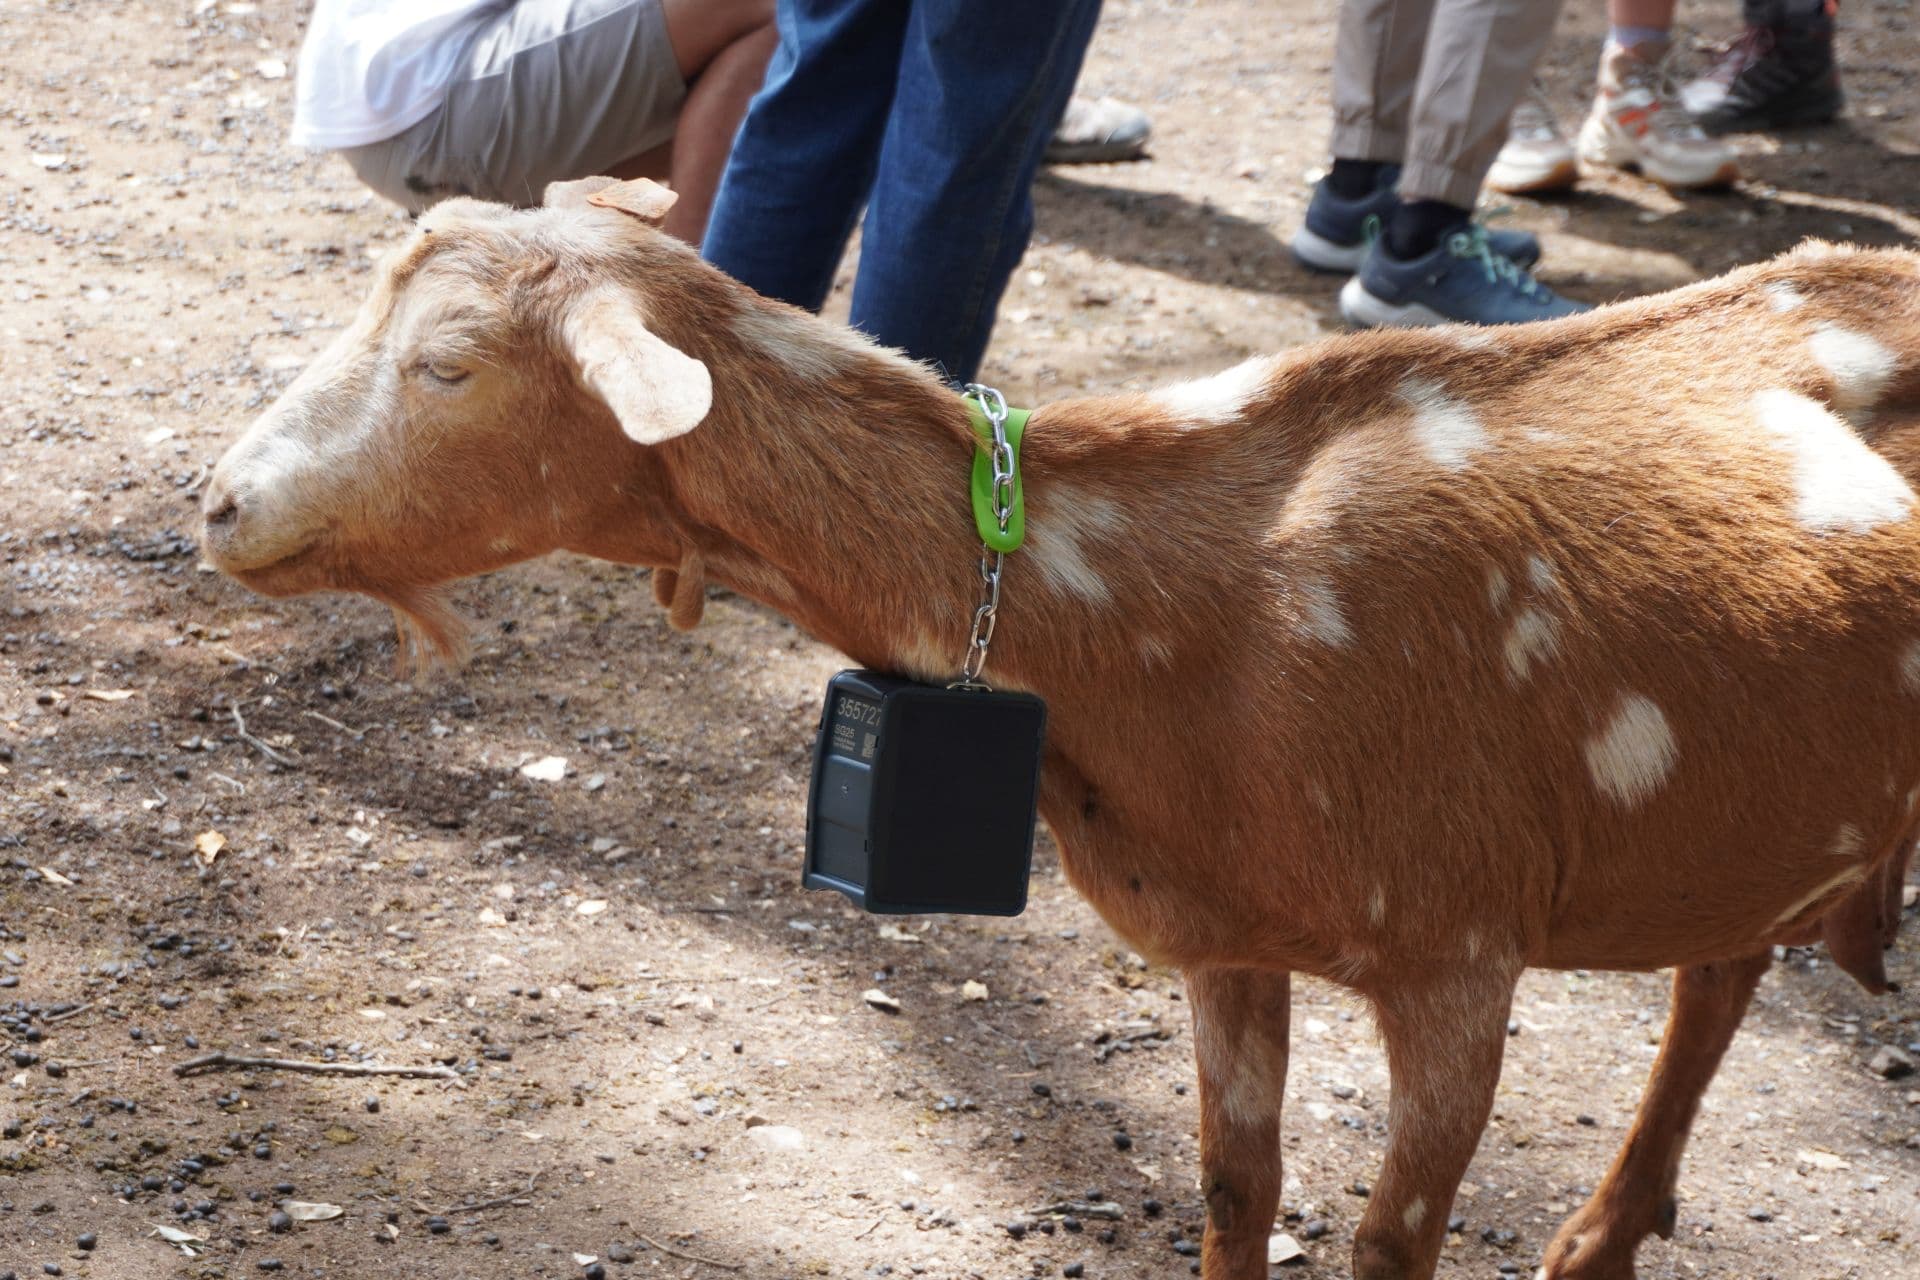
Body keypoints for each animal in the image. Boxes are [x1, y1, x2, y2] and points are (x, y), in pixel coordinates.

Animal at [202, 177, 1918, 1280]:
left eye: (449, 364)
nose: (218, 503)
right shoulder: (1228, 933)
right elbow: (1235, 1189)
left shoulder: (1458, 954)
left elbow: (1385, 1238)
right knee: (1725, 966)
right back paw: (1601, 1241)